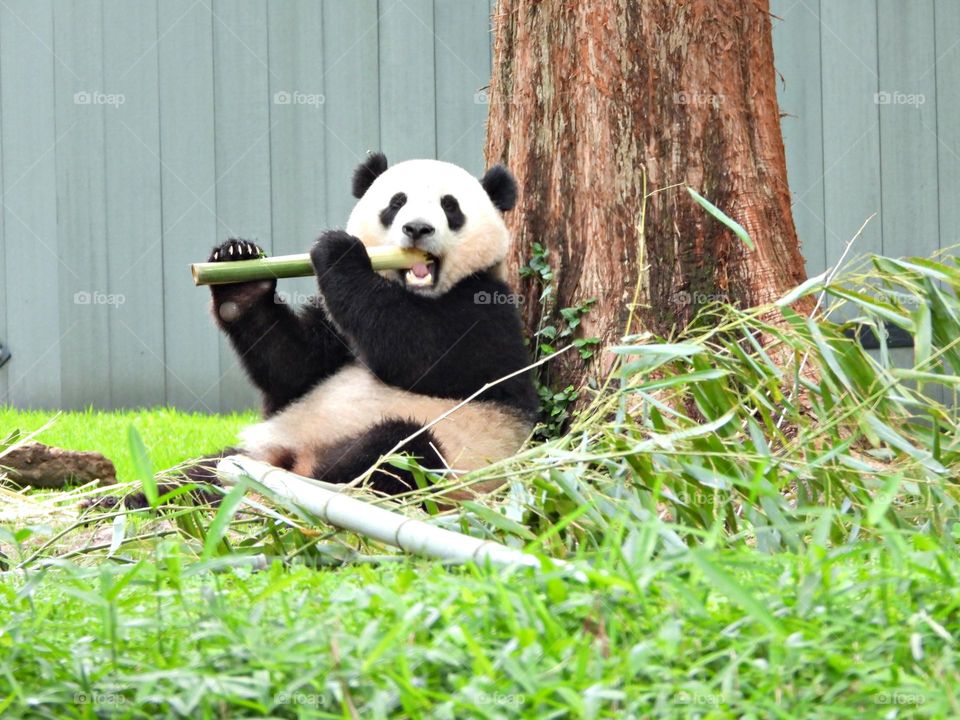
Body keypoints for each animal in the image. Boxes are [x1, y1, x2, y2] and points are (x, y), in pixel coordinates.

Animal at [201, 155, 540, 498]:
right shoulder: (331, 325)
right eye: (397, 202)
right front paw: (240, 278)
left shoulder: (488, 308)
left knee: (400, 448)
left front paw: (340, 251)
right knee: (198, 474)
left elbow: (424, 355)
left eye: (450, 206)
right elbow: (293, 369)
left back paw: (312, 482)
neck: (414, 292)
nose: (417, 228)